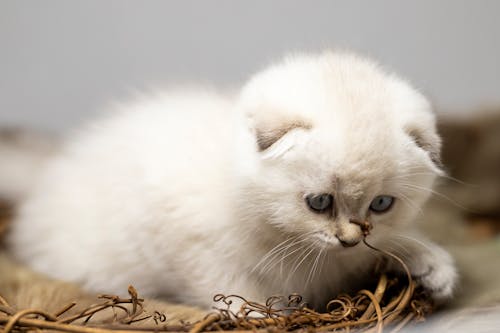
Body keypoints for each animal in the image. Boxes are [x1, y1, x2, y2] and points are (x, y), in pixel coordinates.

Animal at [5, 51, 458, 308]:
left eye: (381, 204)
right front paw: (259, 315)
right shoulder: (189, 244)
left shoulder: (357, 253)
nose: (347, 239)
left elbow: (392, 242)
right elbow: (236, 293)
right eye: (319, 202)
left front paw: (434, 267)